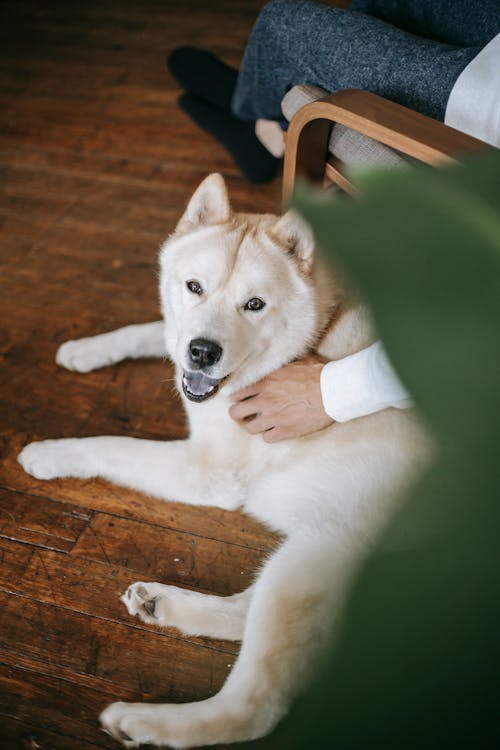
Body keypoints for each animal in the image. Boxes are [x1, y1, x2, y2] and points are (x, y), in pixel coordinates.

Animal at [17, 175, 428, 748]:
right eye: (194, 287)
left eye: (254, 304)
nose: (203, 352)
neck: (316, 331)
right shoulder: (179, 337)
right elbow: (150, 329)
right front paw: (86, 349)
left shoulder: (207, 469)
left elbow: (109, 444)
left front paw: (49, 451)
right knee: (243, 615)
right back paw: (164, 605)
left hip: (312, 558)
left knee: (254, 707)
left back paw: (147, 721)